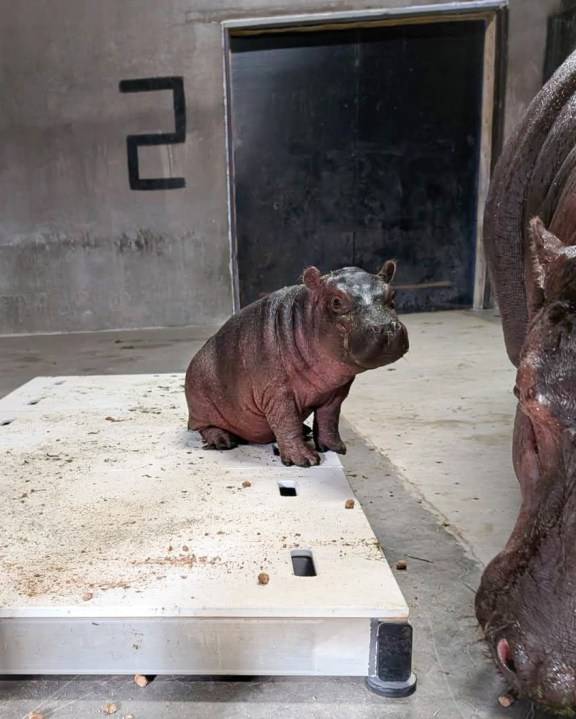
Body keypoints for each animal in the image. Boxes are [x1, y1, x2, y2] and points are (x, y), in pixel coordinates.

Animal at [185, 263, 408, 467]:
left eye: (393, 295)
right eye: (336, 301)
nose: (386, 328)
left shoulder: (337, 391)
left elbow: (329, 419)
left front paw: (335, 448)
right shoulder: (277, 393)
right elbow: (286, 421)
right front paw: (304, 460)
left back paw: (305, 430)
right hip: (199, 404)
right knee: (204, 427)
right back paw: (223, 441)